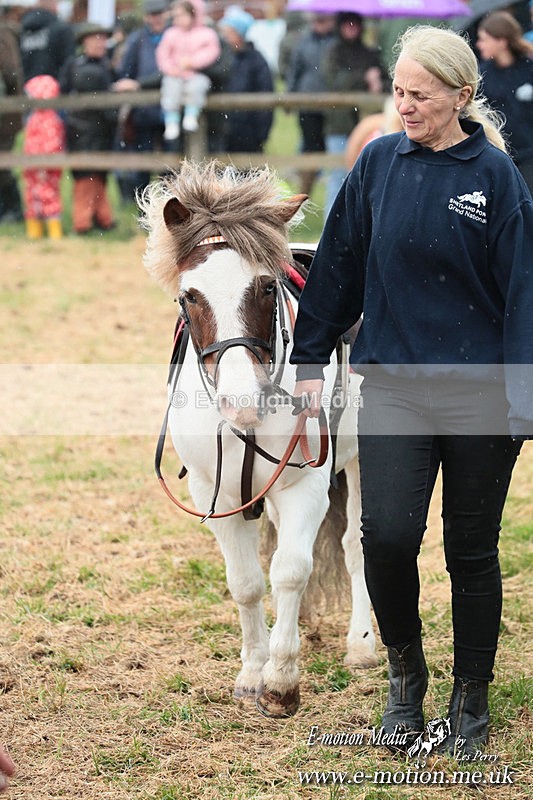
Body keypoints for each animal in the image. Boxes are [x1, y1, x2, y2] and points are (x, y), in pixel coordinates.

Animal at [139, 160, 377, 718]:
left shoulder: (306, 486)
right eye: (189, 295)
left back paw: (361, 645)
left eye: (268, 287)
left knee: (355, 546)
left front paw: (281, 682)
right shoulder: (216, 494)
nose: (241, 400)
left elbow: (290, 570)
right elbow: (246, 583)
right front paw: (252, 672)